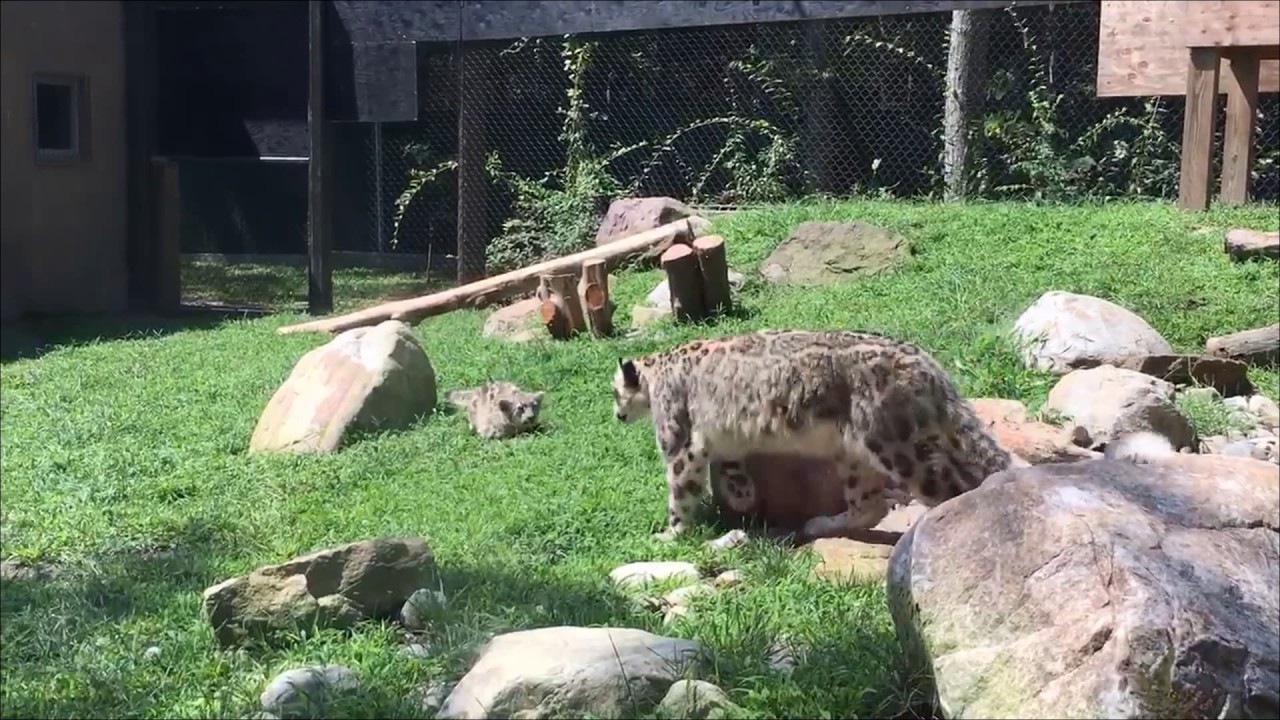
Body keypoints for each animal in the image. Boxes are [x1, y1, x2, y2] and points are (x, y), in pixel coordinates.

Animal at [611, 329, 1173, 542]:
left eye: (615, 392)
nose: (616, 415)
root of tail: (930, 366)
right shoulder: (723, 444)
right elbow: (730, 469)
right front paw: (743, 497)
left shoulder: (679, 442)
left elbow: (679, 487)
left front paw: (670, 533)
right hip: (855, 454)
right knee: (869, 504)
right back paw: (820, 523)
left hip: (899, 446)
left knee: (950, 487)